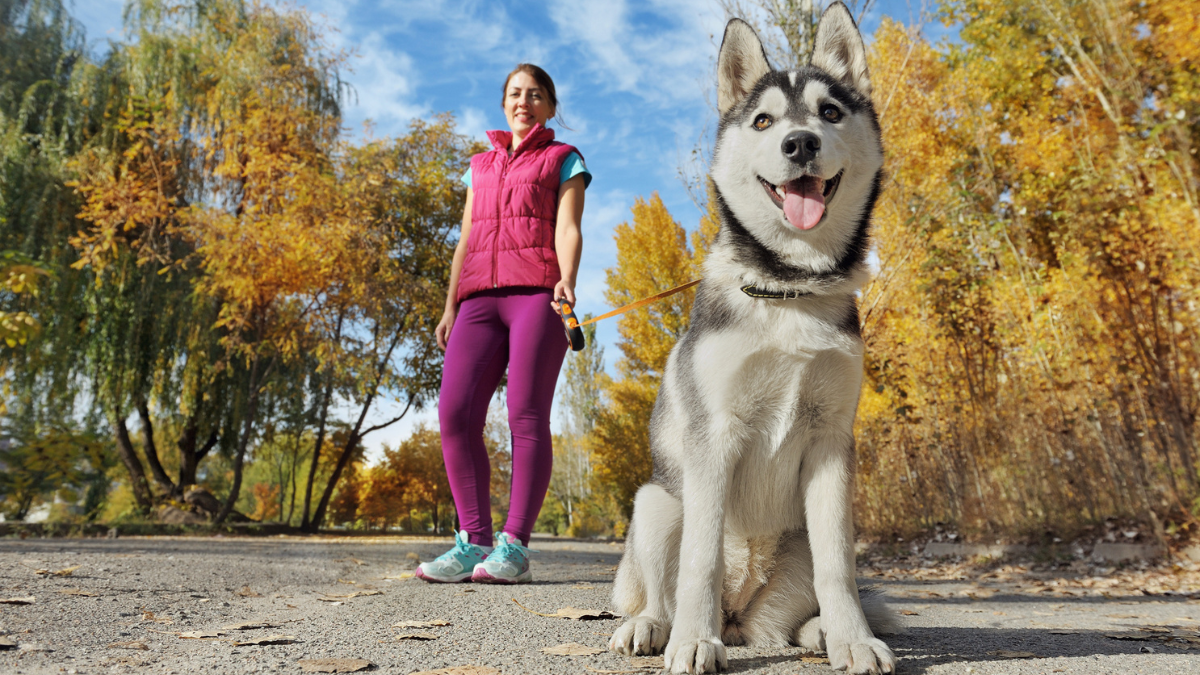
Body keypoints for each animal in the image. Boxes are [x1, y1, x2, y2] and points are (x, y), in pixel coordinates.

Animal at [609, 5, 902, 672]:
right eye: (764, 120)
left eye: (830, 111)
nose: (800, 143)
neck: (788, 287)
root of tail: (740, 614)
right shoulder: (714, 437)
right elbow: (701, 560)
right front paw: (693, 641)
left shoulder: (831, 442)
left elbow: (840, 568)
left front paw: (854, 638)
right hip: (658, 503)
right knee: (666, 588)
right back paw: (656, 627)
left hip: (795, 546)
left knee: (791, 616)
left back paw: (821, 633)